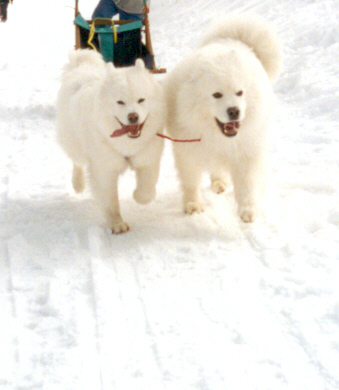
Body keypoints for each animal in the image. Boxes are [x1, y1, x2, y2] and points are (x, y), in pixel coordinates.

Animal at [56, 50, 165, 233]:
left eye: (141, 100)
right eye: (120, 102)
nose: (133, 116)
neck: (127, 144)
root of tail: (81, 66)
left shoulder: (147, 159)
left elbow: (147, 191)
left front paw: (138, 196)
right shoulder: (104, 169)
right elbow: (111, 201)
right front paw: (117, 224)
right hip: (73, 142)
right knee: (77, 162)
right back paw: (78, 184)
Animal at [166, 13, 282, 222]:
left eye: (240, 92)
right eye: (217, 95)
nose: (234, 111)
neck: (219, 137)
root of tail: (232, 39)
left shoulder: (247, 151)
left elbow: (246, 184)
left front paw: (248, 210)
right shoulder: (187, 151)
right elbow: (190, 181)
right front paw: (193, 205)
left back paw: (220, 184)